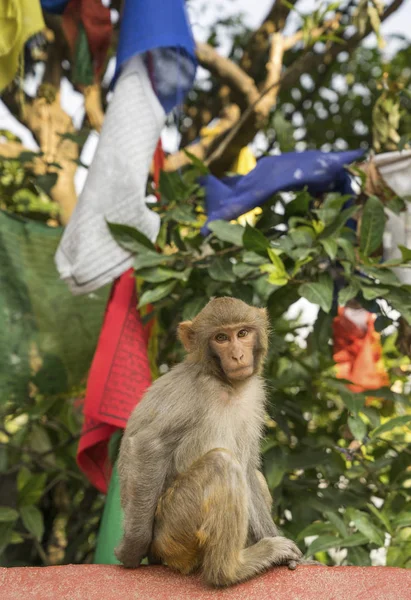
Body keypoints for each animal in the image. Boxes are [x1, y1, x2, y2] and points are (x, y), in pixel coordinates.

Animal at [114, 296, 304, 584]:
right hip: (173, 530)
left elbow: (248, 470)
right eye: (221, 338)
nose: (237, 355)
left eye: (243, 333)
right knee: (221, 463)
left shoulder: (254, 395)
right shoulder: (194, 391)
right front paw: (132, 548)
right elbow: (149, 444)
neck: (226, 384)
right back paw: (229, 570)